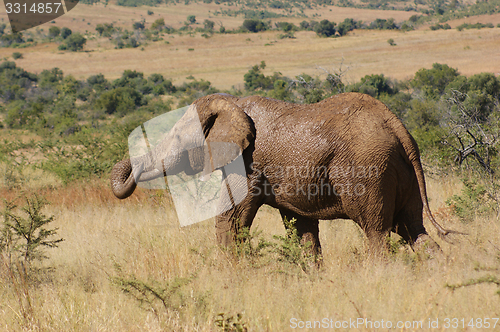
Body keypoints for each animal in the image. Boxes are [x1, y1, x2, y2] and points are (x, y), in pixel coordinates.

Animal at [110, 92, 454, 255]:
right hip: (401, 171)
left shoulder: (248, 163)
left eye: (179, 137)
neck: (233, 103)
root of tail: (398, 127)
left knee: (377, 233)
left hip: (369, 170)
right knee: (413, 230)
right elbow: (300, 227)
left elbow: (232, 218)